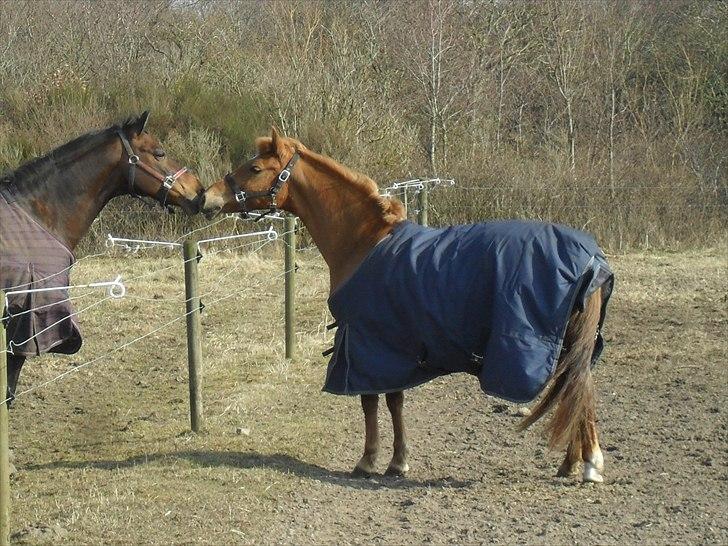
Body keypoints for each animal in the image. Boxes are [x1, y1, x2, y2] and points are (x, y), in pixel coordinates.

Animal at [202, 127, 612, 480]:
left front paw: (371, 460)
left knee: (578, 390)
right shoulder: (392, 345)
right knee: (577, 390)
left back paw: (589, 464)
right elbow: (394, 400)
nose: (206, 197)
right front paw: (397, 460)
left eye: (255, 168)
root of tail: (592, 260)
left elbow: (372, 401)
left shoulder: (368, 344)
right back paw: (573, 464)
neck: (364, 241)